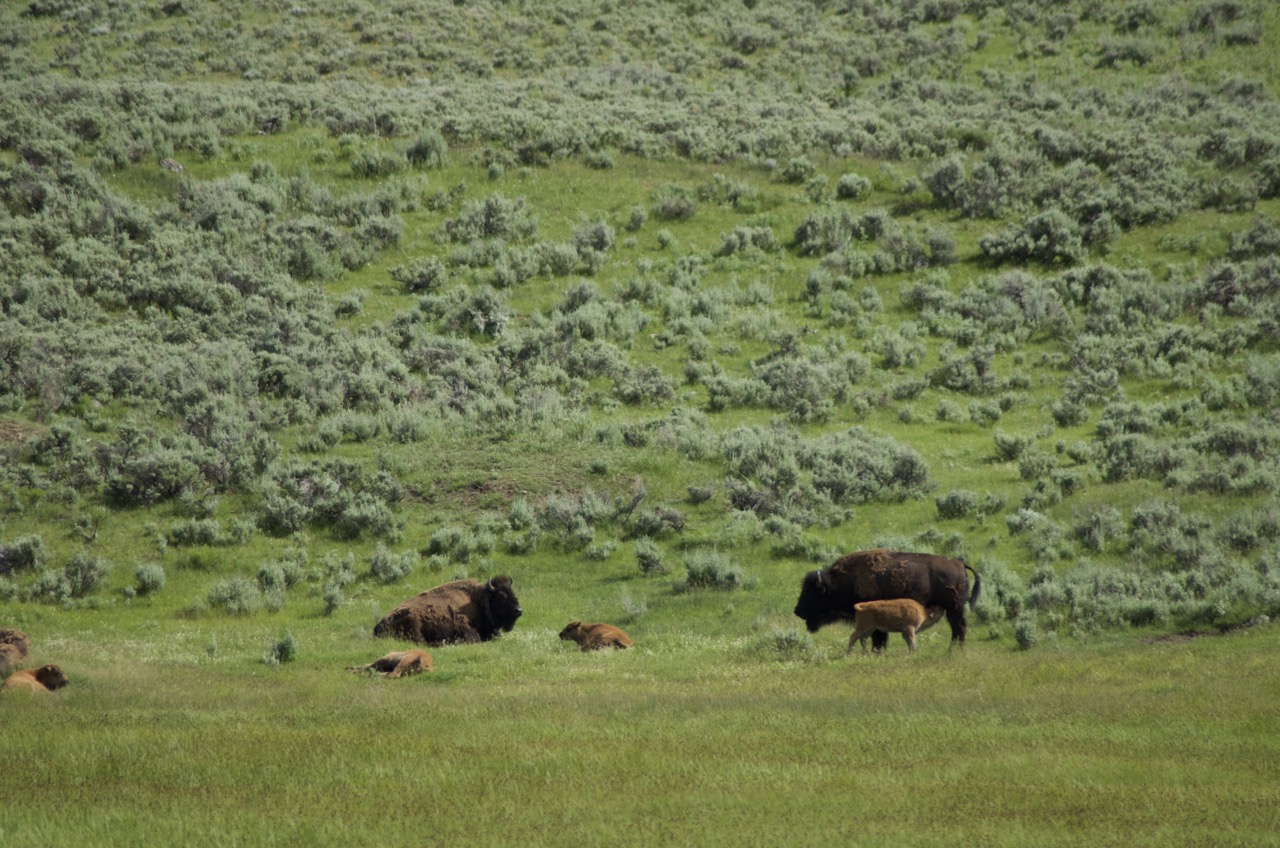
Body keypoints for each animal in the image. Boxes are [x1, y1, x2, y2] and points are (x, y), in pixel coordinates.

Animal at [373, 578, 522, 650]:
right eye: (502, 596)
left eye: (513, 593)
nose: (519, 610)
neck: (478, 599)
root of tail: (378, 626)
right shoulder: (465, 627)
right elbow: (475, 638)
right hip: (412, 620)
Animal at [788, 550, 977, 650]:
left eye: (810, 593)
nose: (797, 610)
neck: (842, 582)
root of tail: (960, 564)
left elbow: (878, 639)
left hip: (954, 609)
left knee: (958, 628)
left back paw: (954, 650)